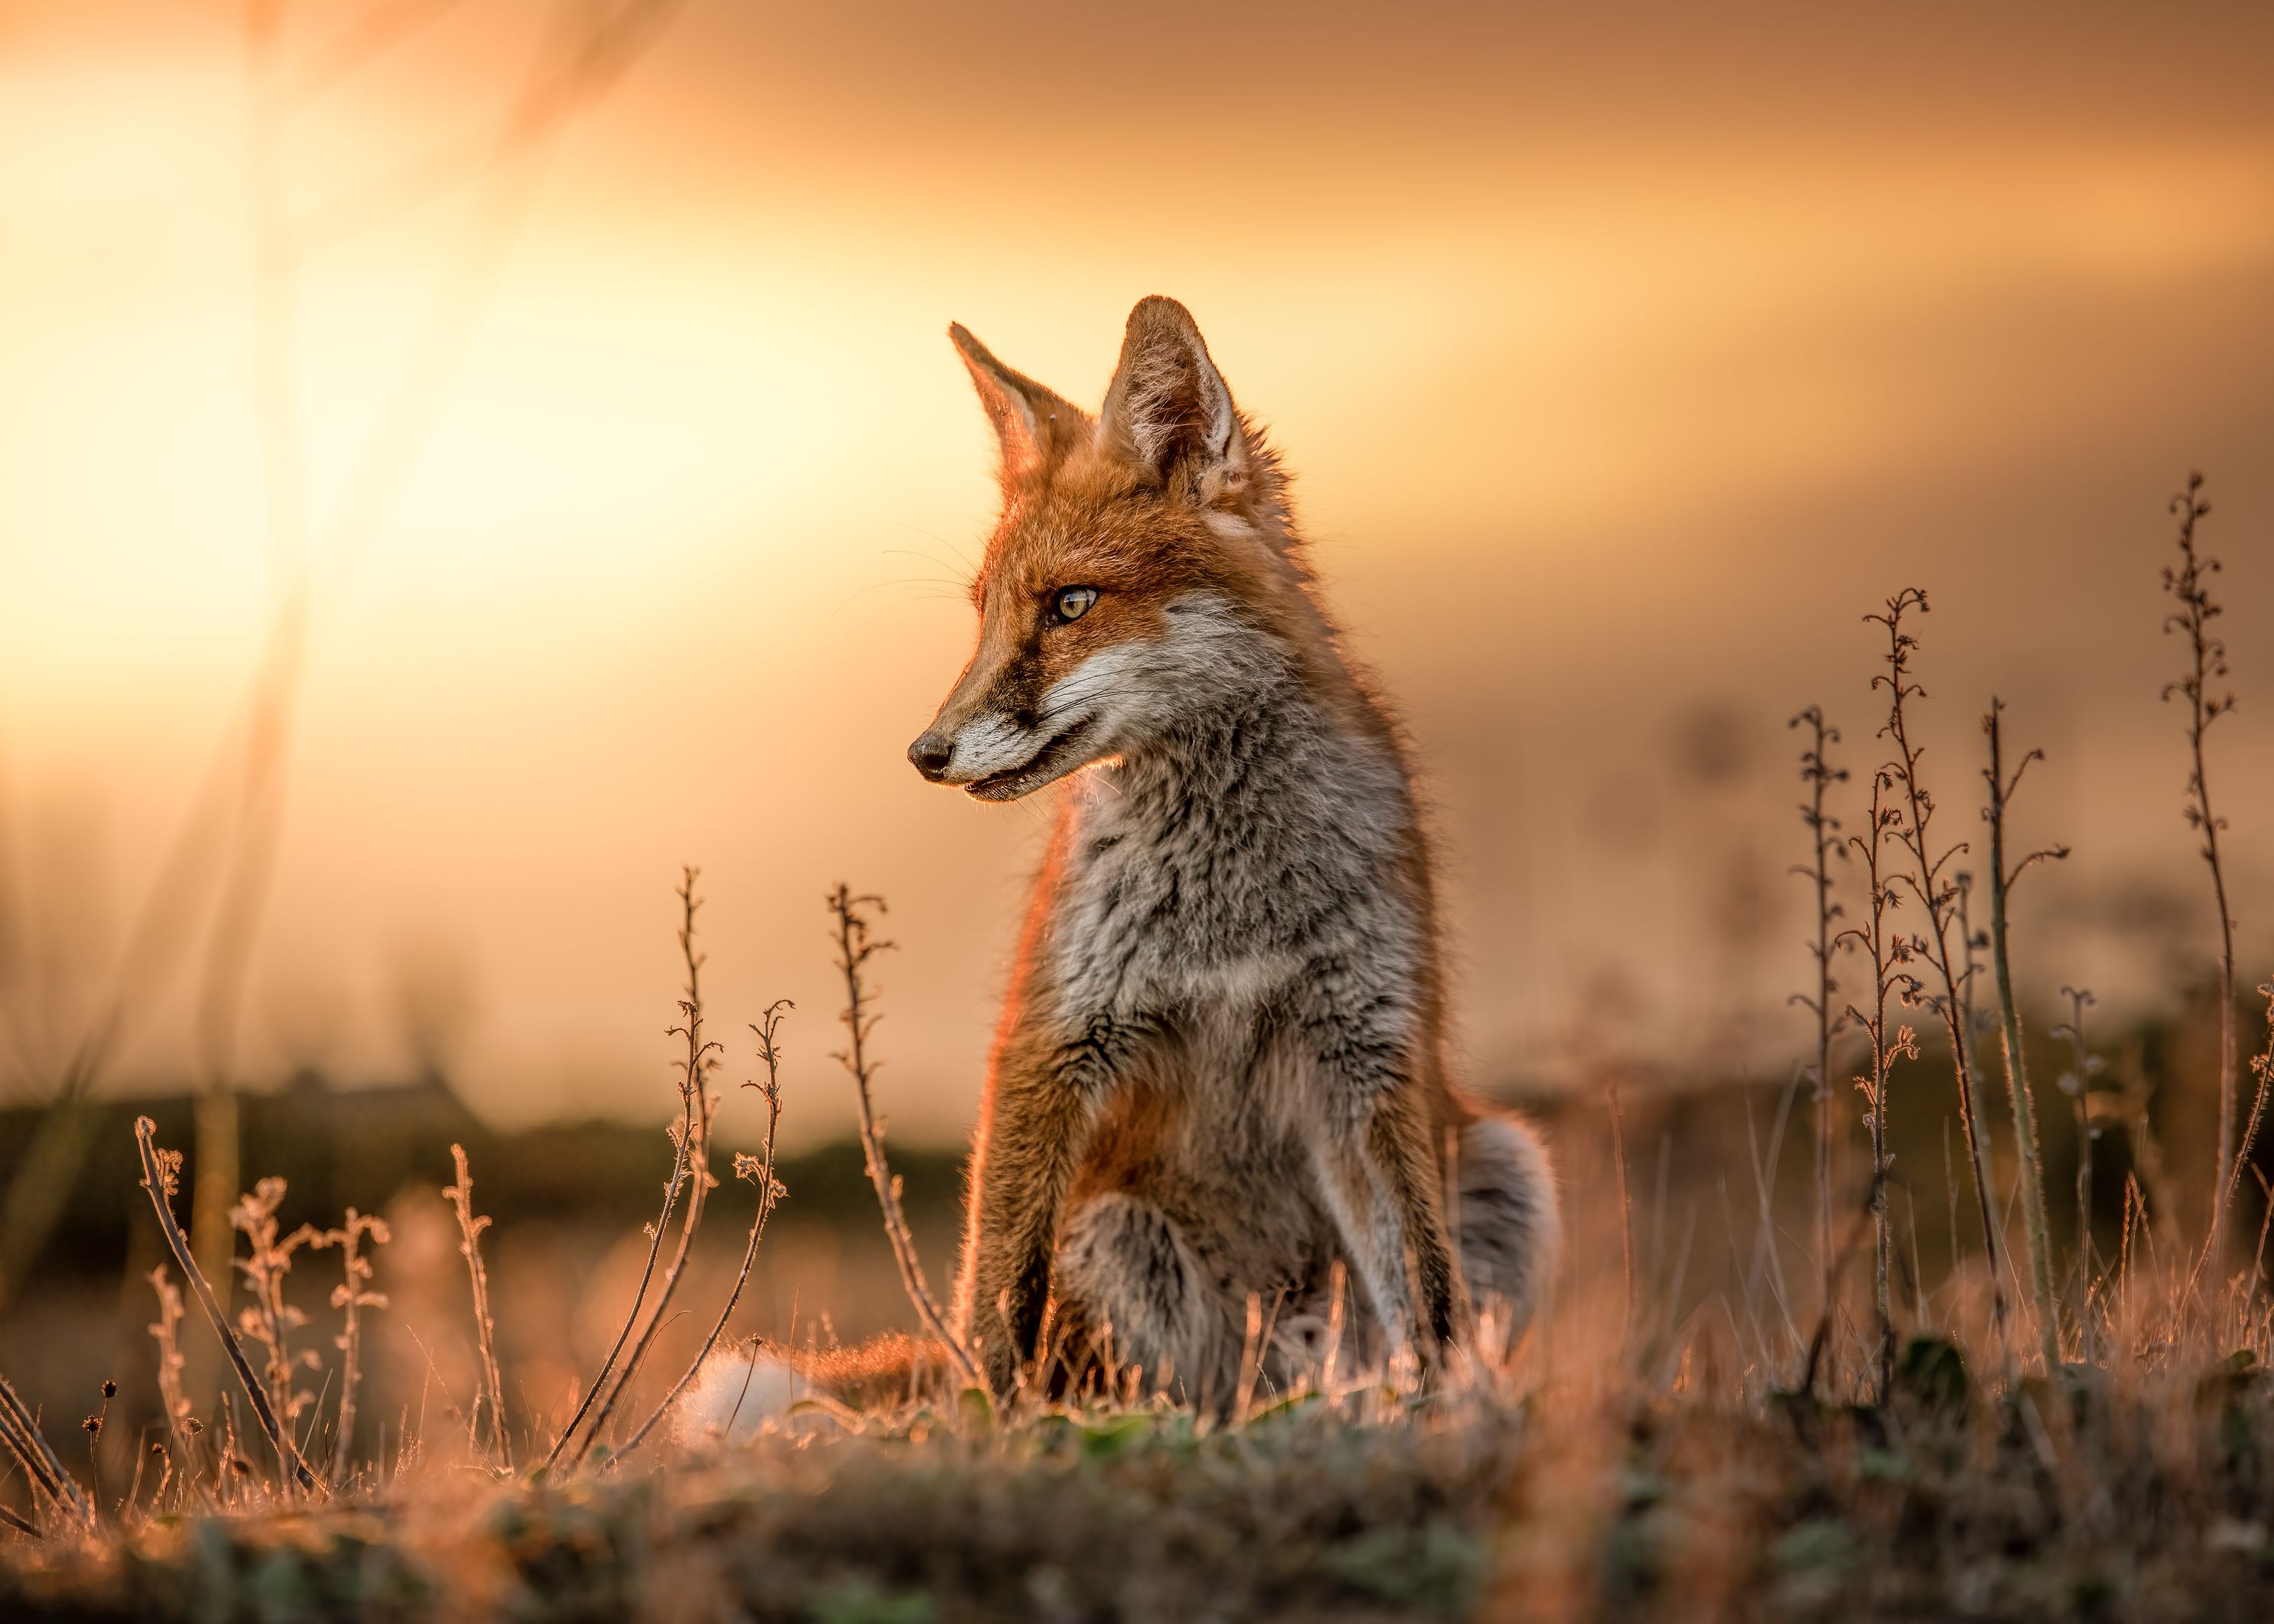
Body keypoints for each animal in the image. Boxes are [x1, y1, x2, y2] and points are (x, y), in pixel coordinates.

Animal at [684, 296, 1557, 1433]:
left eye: (1069, 605)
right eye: (984, 613)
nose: (923, 753)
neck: (1232, 908)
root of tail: (1276, 1369)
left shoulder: (1364, 1053)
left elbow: (1430, 1300)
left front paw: (1448, 1423)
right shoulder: (1052, 1039)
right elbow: (994, 1298)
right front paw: (990, 1435)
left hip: (1507, 1165)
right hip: (1117, 1236)